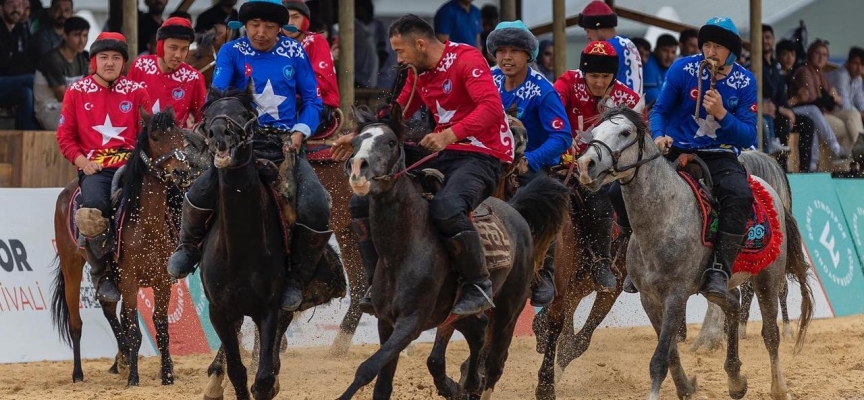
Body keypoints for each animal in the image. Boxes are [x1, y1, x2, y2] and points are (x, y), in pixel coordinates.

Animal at [50, 108, 204, 386]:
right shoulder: (131, 281)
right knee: (76, 323)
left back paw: (120, 359)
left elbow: (160, 328)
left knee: (110, 308)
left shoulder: (162, 282)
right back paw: (79, 373)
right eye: (154, 137)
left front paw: (167, 375)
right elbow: (134, 330)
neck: (146, 225)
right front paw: (133, 377)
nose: (181, 172)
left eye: (180, 137)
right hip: (72, 267)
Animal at [340, 104, 572, 398]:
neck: (404, 250)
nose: (357, 168)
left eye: (391, 142)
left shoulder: (411, 323)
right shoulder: (386, 322)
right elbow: (382, 384)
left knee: (496, 364)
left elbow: (367, 368)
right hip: (463, 314)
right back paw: (468, 382)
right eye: (355, 142)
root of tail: (516, 211)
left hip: (509, 311)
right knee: (478, 331)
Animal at [576, 106, 812, 400]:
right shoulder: (648, 298)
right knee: (732, 303)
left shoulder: (676, 296)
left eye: (625, 132)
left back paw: (778, 388)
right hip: (717, 284)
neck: (664, 217)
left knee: (771, 333)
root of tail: (770, 190)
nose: (586, 165)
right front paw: (686, 387)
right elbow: (670, 354)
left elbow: (659, 360)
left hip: (767, 277)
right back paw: (735, 379)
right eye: (595, 132)